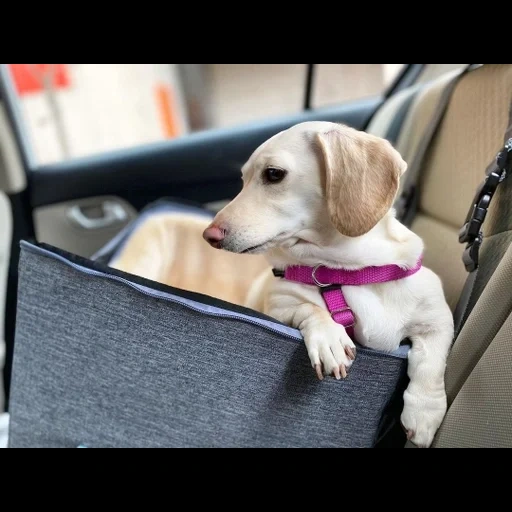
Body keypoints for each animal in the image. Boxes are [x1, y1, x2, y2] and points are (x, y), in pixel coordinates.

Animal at [202, 121, 454, 448]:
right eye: (243, 180)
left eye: (273, 174)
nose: (209, 235)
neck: (350, 271)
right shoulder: (279, 305)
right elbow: (310, 309)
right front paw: (329, 338)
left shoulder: (438, 321)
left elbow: (431, 365)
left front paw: (424, 413)